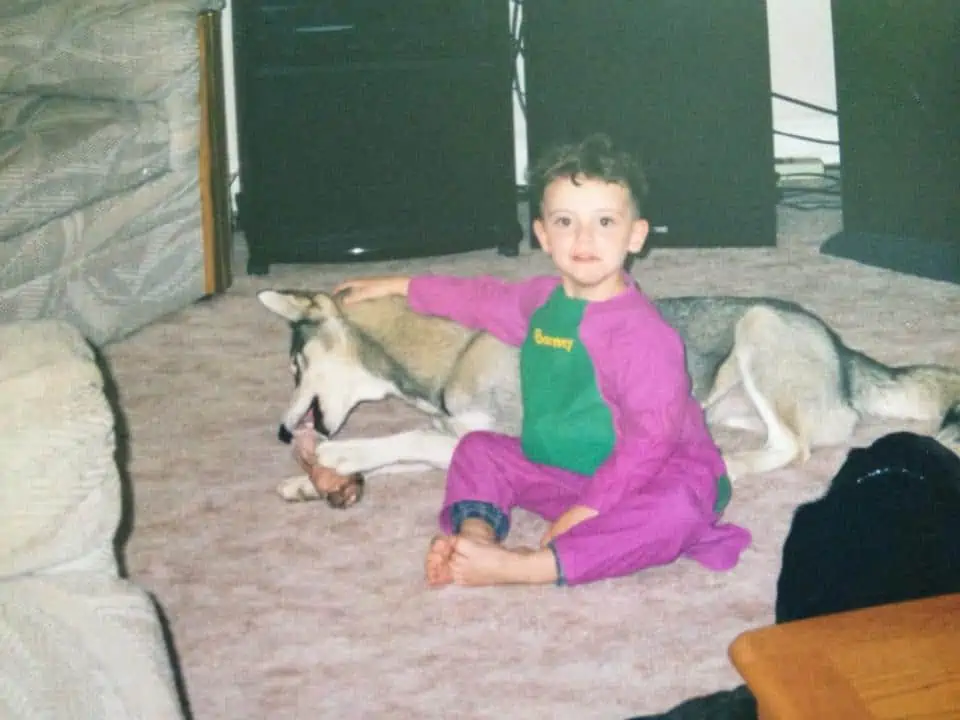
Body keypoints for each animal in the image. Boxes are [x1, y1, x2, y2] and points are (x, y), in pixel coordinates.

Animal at [258, 286, 960, 500]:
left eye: (294, 365)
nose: (282, 433)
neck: (456, 345)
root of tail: (845, 352)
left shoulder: (499, 434)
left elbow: (405, 441)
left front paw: (338, 458)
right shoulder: (453, 431)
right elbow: (407, 453)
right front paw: (307, 481)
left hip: (757, 327)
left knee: (794, 447)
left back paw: (723, 466)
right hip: (727, 397)